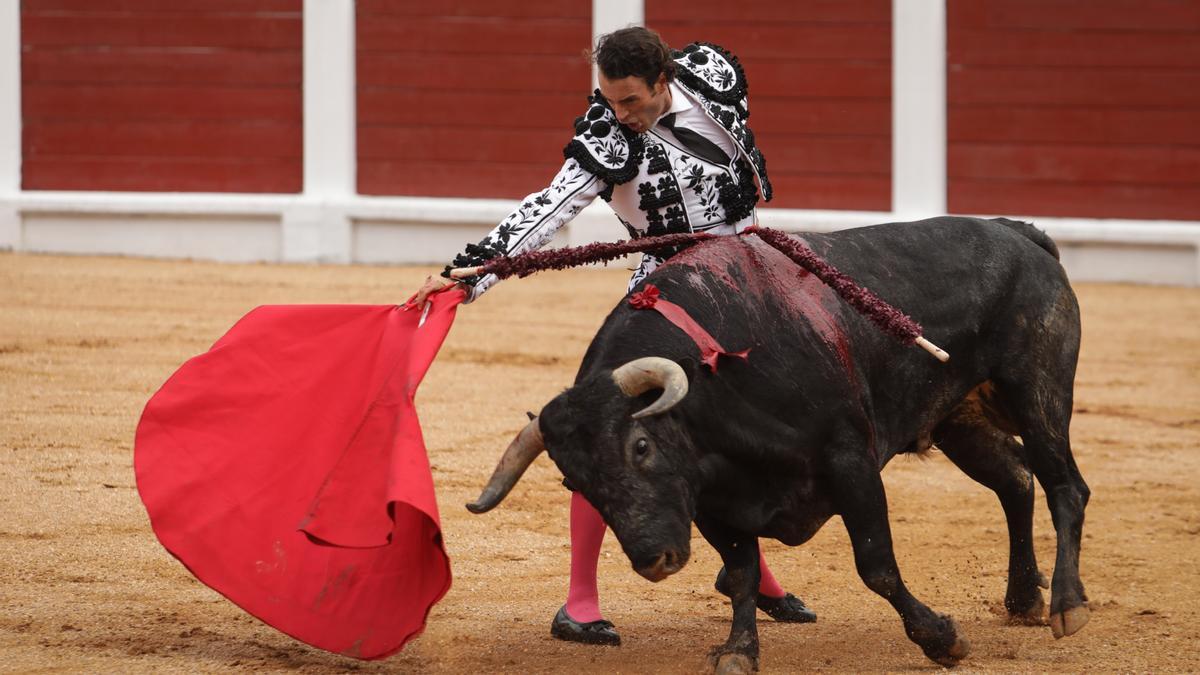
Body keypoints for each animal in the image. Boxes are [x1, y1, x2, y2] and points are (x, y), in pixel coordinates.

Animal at [465, 216, 1089, 667]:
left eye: (640, 446)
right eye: (577, 481)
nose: (653, 560)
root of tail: (1019, 233)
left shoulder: (851, 463)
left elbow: (877, 565)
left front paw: (940, 639)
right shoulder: (712, 500)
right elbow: (741, 574)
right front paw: (739, 651)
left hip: (1038, 392)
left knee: (1065, 486)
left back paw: (1068, 606)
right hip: (960, 418)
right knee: (1016, 479)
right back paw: (1024, 599)